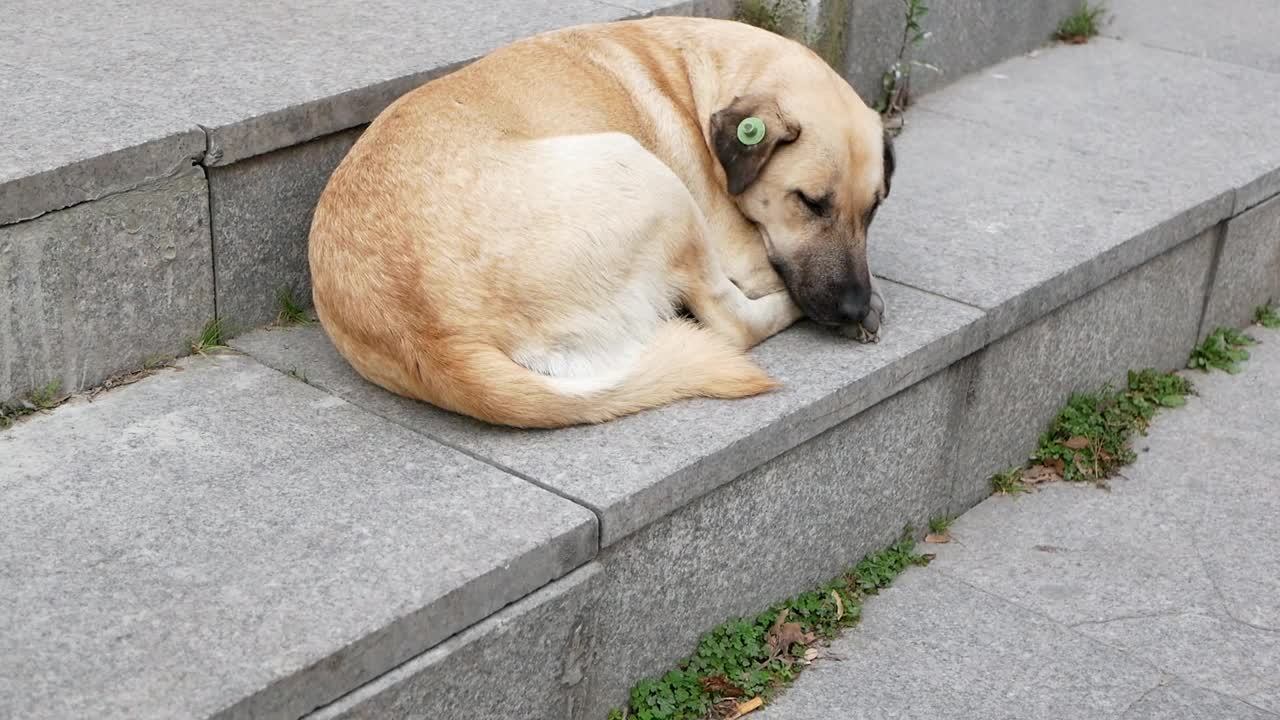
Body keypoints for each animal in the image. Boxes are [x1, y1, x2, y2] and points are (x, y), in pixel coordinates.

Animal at [305, 15, 896, 425]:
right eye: (810, 202)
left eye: (873, 209)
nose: (851, 304)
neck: (699, 80)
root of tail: (435, 339)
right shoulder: (745, 251)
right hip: (646, 172)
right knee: (732, 324)